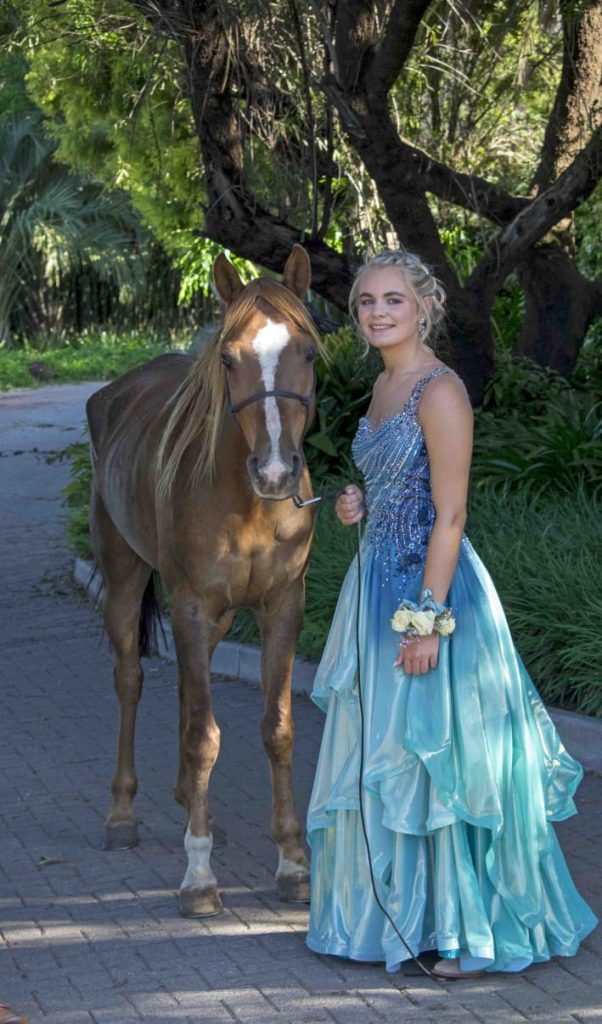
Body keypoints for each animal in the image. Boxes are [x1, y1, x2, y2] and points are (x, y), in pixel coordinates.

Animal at [86, 245, 322, 917]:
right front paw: (198, 876)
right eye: (228, 358)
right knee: (132, 681)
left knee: (188, 695)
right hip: (125, 579)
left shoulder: (282, 606)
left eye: (308, 352)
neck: (248, 503)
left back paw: (190, 800)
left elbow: (276, 729)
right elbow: (202, 738)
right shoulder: (189, 605)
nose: (276, 471)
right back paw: (122, 814)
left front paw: (293, 862)